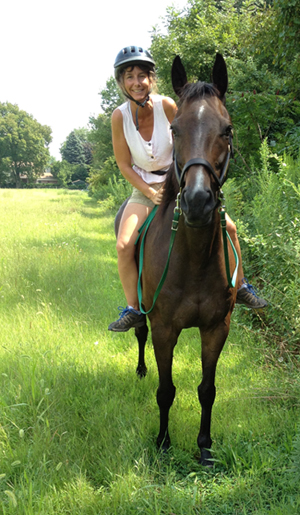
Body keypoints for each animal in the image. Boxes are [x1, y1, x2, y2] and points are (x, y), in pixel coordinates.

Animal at [114, 53, 237, 468]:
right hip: (142, 309)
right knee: (139, 331)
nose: (198, 201)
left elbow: (207, 389)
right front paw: (164, 443)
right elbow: (166, 389)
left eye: (226, 130)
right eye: (176, 129)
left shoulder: (216, 328)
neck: (193, 259)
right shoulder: (165, 328)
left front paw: (205, 447)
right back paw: (139, 369)